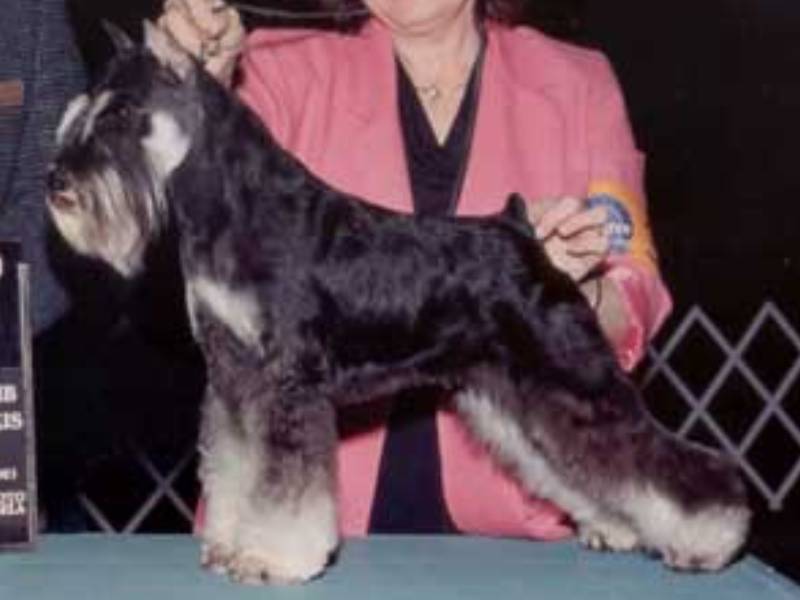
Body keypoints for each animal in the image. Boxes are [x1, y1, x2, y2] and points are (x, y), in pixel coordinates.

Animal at [47, 21, 750, 584]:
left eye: (120, 115)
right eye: (85, 112)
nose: (57, 184)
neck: (231, 210)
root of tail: (521, 231)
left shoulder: (287, 386)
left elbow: (285, 485)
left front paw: (274, 558)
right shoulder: (233, 381)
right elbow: (235, 468)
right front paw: (227, 543)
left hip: (570, 376)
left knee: (660, 458)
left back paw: (710, 541)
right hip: (509, 398)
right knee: (573, 462)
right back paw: (618, 527)